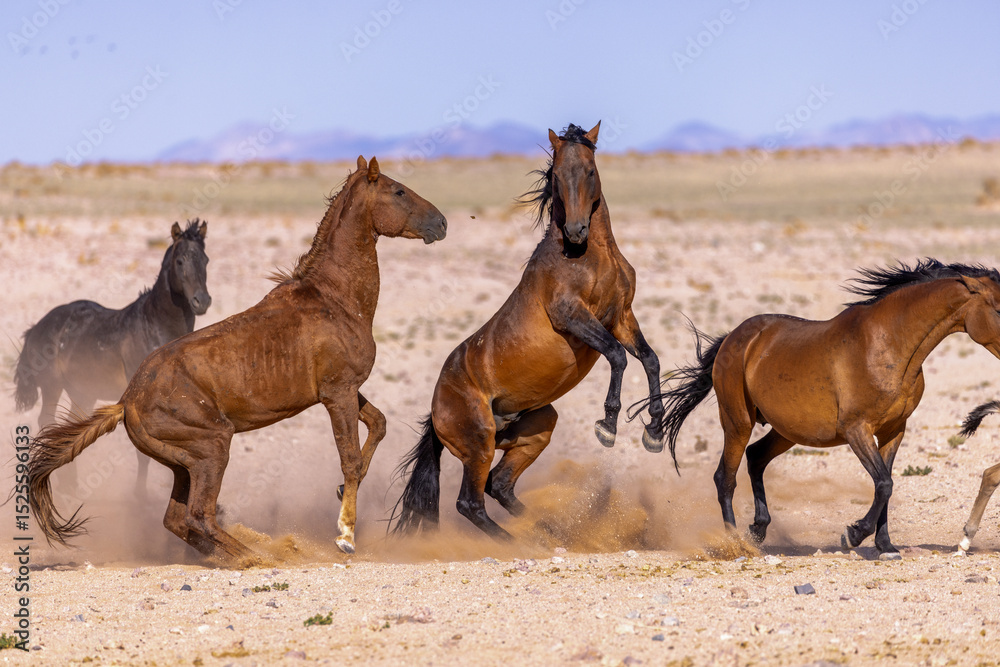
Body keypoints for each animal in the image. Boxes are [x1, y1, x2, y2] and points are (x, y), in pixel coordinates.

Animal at [14, 220, 211, 495]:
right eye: (180, 261)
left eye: (205, 260)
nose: (201, 301)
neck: (154, 325)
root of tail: (37, 327)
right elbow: (144, 454)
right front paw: (139, 497)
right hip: (53, 387)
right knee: (47, 421)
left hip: (83, 392)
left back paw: (71, 485)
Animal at [391, 123, 666, 539]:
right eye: (557, 175)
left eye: (589, 170)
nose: (576, 230)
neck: (587, 256)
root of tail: (436, 409)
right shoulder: (574, 318)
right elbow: (618, 356)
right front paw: (608, 426)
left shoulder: (621, 316)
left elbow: (649, 359)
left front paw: (654, 432)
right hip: (480, 445)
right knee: (470, 502)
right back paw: (519, 541)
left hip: (535, 429)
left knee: (499, 485)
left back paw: (548, 533)